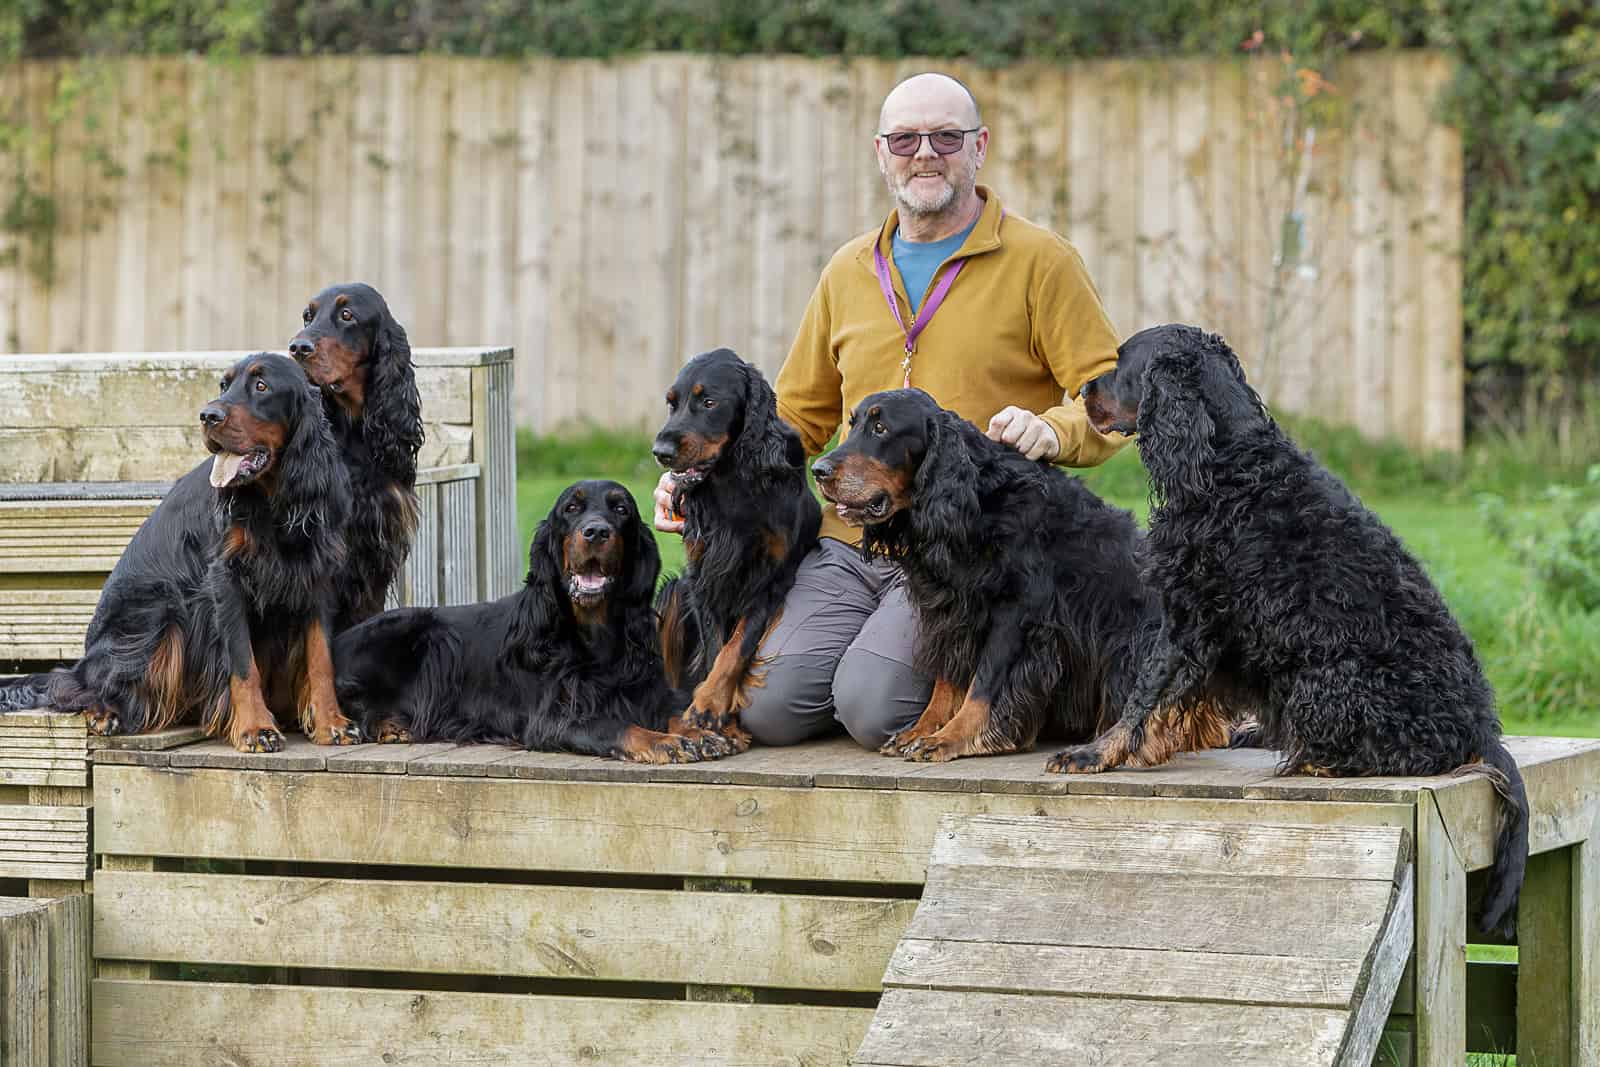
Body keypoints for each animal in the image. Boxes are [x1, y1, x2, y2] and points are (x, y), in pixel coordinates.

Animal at [0, 351, 353, 751]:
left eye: (261, 386)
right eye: (223, 384)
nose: (208, 415)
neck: (273, 498)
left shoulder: (317, 576)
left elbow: (321, 658)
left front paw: (331, 723)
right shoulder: (225, 579)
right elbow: (242, 662)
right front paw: (255, 728)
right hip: (159, 612)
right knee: (75, 684)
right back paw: (104, 712)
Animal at [334, 479, 729, 764]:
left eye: (621, 509)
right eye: (571, 508)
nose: (596, 532)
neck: (594, 634)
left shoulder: (643, 689)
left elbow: (674, 710)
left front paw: (699, 734)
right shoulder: (551, 719)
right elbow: (616, 726)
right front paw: (665, 743)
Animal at [812, 388, 1177, 764]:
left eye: (881, 428)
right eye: (853, 424)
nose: (818, 470)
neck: (978, 504)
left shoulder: (1017, 612)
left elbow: (984, 684)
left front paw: (951, 737)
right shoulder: (952, 610)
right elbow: (947, 677)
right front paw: (923, 729)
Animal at [1056, 323, 1529, 934]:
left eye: (1120, 362)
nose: (1081, 393)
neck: (1229, 463)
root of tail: (1481, 728)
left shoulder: (1189, 617)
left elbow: (1143, 695)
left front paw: (1095, 753)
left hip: (1325, 681)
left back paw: (1308, 760)